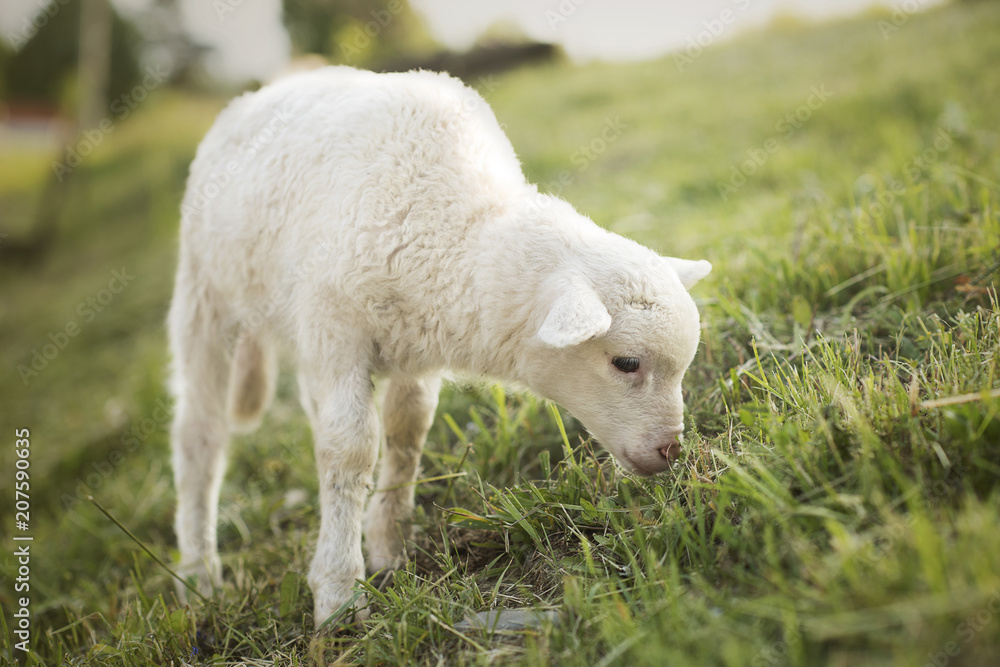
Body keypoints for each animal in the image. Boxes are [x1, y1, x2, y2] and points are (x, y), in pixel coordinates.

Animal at [167, 66, 711, 627]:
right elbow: (351, 447)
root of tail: (264, 89)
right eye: (626, 362)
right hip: (204, 293)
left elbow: (407, 431)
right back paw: (199, 573)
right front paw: (339, 593)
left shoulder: (413, 344)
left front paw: (389, 546)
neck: (453, 229)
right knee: (200, 436)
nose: (671, 450)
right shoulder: (335, 327)